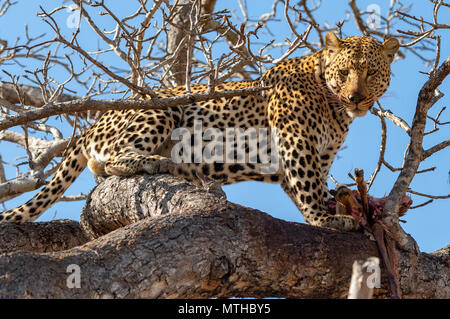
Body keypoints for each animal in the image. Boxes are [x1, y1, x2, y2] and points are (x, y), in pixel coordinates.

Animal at [0, 32, 400, 231]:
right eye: (345, 72)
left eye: (371, 73)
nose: (357, 97)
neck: (335, 107)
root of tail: (90, 126)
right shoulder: (296, 143)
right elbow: (308, 185)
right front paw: (325, 219)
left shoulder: (318, 154)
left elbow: (305, 186)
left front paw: (332, 208)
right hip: (162, 111)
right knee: (113, 156)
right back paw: (155, 162)